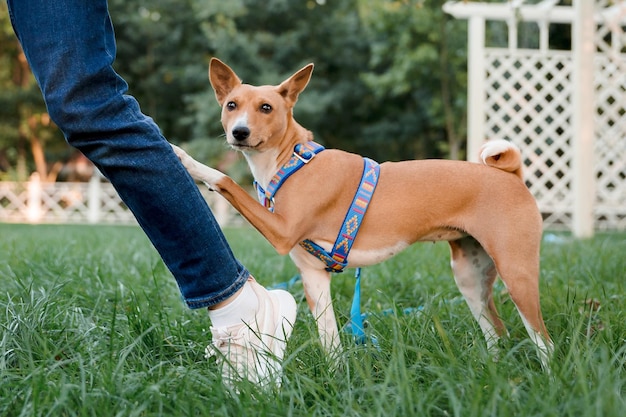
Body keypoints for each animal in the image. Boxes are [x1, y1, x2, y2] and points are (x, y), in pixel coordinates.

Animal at [171, 57, 552, 368]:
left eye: (266, 107)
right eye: (231, 105)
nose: (240, 132)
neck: (291, 162)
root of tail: (510, 175)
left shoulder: (281, 232)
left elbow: (224, 180)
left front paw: (186, 159)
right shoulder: (314, 277)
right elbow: (331, 342)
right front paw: (338, 380)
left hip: (517, 274)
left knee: (543, 341)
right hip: (470, 277)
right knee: (497, 332)